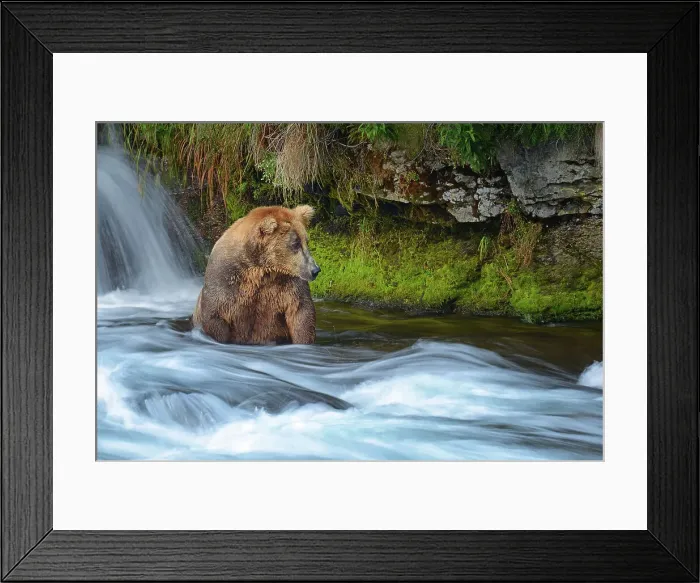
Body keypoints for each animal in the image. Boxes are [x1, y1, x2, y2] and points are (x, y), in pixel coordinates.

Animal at [192, 205, 320, 345]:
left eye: (306, 241)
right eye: (295, 244)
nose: (315, 270)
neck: (262, 269)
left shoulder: (288, 283)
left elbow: (301, 312)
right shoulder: (225, 279)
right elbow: (215, 316)